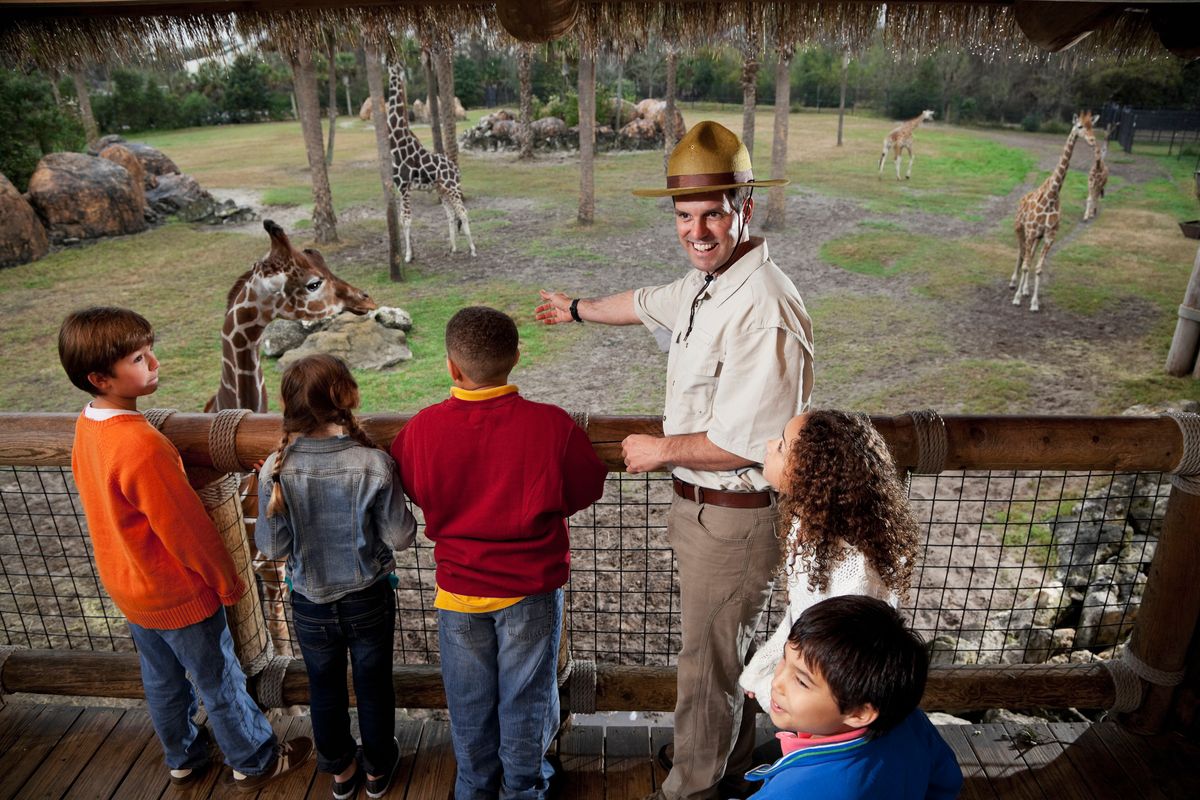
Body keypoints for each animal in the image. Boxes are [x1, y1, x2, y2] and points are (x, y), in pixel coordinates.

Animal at [386, 63, 475, 262]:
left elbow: (407, 220)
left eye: (391, 61)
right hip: (441, 189)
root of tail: (456, 169)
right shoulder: (399, 187)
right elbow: (402, 220)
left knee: (463, 212)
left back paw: (473, 249)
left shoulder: (405, 187)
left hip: (452, 187)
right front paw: (409, 253)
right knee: (451, 214)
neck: (398, 143)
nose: (387, 62)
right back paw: (453, 248)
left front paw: (408, 257)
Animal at [1008, 110, 1094, 311]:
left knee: (1029, 256)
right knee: (1021, 254)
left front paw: (1034, 302)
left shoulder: (1048, 236)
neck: (1052, 195)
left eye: (1092, 126)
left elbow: (1038, 268)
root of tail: (1022, 199)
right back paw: (1014, 283)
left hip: (1036, 237)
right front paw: (1016, 298)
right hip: (1020, 229)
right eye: (1080, 126)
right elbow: (1025, 264)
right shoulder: (1031, 232)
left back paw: (1025, 289)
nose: (1092, 140)